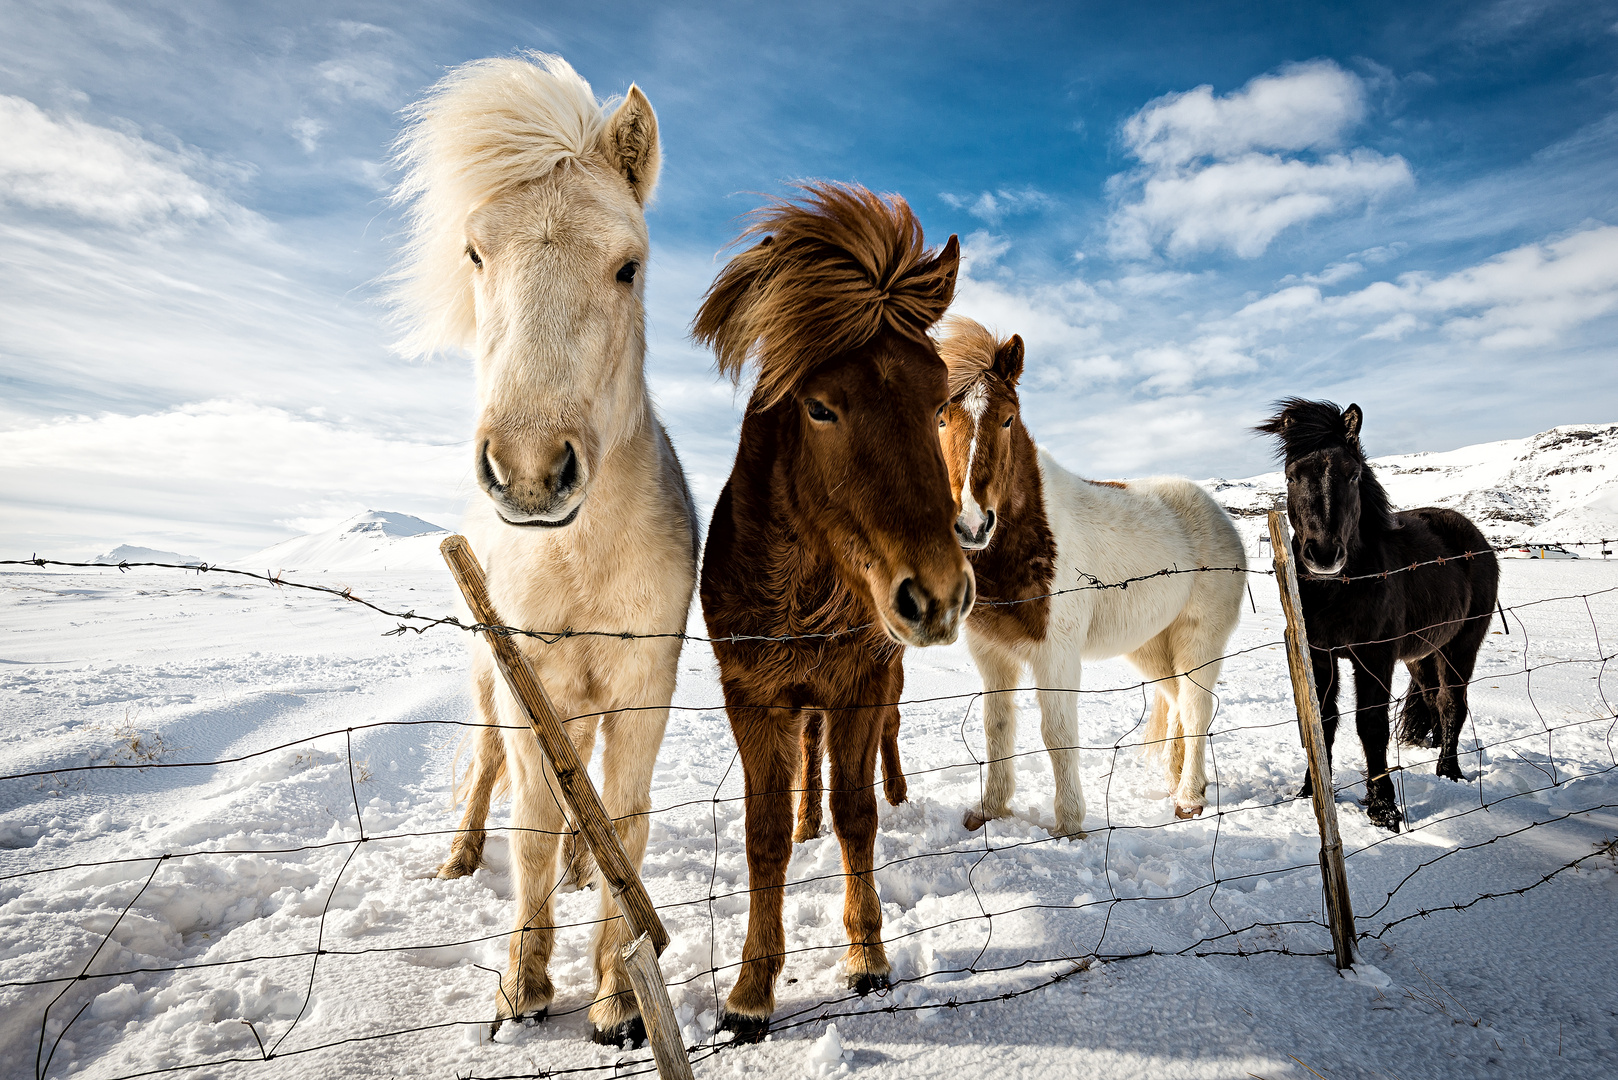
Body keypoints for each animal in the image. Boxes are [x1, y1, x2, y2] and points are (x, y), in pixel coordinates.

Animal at [394, 55, 698, 1042]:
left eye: (628, 266)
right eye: (475, 253)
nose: (529, 472)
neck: (580, 560)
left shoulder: (643, 686)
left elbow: (624, 819)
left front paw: (616, 1000)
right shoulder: (531, 679)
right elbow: (526, 825)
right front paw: (521, 990)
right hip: (494, 682)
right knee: (492, 768)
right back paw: (459, 859)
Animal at [695, 183, 970, 1036]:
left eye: (939, 403)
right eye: (819, 408)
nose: (936, 593)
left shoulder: (857, 685)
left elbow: (858, 815)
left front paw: (867, 955)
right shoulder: (752, 698)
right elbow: (763, 836)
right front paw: (750, 991)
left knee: (888, 743)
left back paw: (899, 794)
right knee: (808, 764)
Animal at [931, 317, 1242, 841]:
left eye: (1007, 418)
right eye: (939, 418)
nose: (972, 525)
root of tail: (1220, 515)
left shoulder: (1056, 655)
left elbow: (1057, 734)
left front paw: (1070, 827)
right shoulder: (991, 654)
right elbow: (998, 729)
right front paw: (989, 810)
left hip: (1199, 641)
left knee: (1198, 706)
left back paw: (1189, 798)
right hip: (1151, 647)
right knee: (1178, 703)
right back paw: (1177, 781)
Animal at [1255, 401, 1495, 835]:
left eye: (1352, 474)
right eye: (1291, 475)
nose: (1323, 554)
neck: (1340, 588)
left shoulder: (1375, 656)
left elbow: (1371, 725)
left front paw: (1383, 808)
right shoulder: (1319, 654)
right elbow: (1323, 721)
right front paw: (1311, 791)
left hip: (1460, 646)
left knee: (1452, 702)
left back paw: (1449, 771)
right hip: (1422, 653)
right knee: (1433, 700)